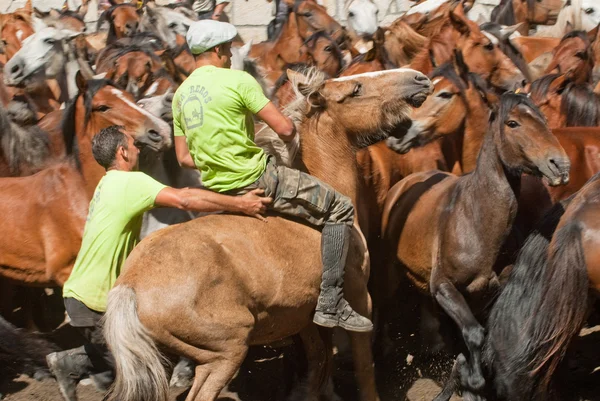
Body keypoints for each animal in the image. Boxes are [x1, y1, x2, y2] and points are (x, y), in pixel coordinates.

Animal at [102, 67, 432, 400]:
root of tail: (129, 285)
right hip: (227, 351)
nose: (418, 78)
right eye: (356, 89)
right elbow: (364, 369)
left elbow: (318, 365)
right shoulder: (359, 295)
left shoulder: (302, 316)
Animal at [382, 93, 568, 394]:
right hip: (390, 273)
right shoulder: (444, 286)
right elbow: (474, 333)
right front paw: (473, 379)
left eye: (543, 119)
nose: (560, 165)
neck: (476, 218)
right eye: (512, 123)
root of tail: (401, 186)